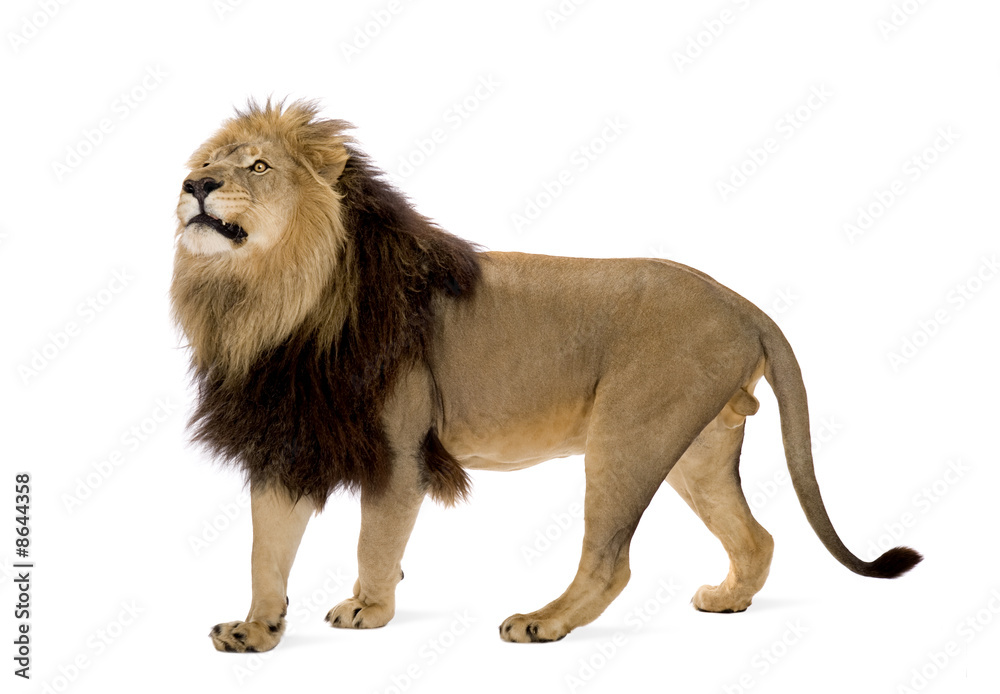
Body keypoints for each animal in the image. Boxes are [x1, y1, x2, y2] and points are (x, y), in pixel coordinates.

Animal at [171, 100, 921, 653]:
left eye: (257, 165)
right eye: (204, 163)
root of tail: (741, 302)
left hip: (627, 435)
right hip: (700, 450)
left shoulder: (399, 449)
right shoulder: (287, 438)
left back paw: (543, 622)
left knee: (612, 560)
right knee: (755, 535)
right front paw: (256, 630)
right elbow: (266, 549)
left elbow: (375, 539)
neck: (264, 302)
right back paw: (727, 599)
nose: (194, 186)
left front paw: (368, 608)